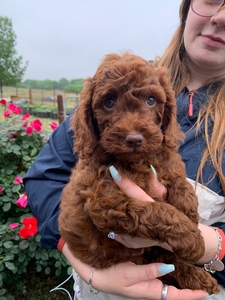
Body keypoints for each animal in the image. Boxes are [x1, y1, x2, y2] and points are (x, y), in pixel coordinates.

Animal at [59, 52, 220, 294]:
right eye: (109, 103)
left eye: (150, 100)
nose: (134, 139)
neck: (137, 161)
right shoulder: (106, 202)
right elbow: (155, 210)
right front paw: (191, 237)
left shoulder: (165, 159)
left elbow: (179, 180)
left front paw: (188, 212)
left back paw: (200, 278)